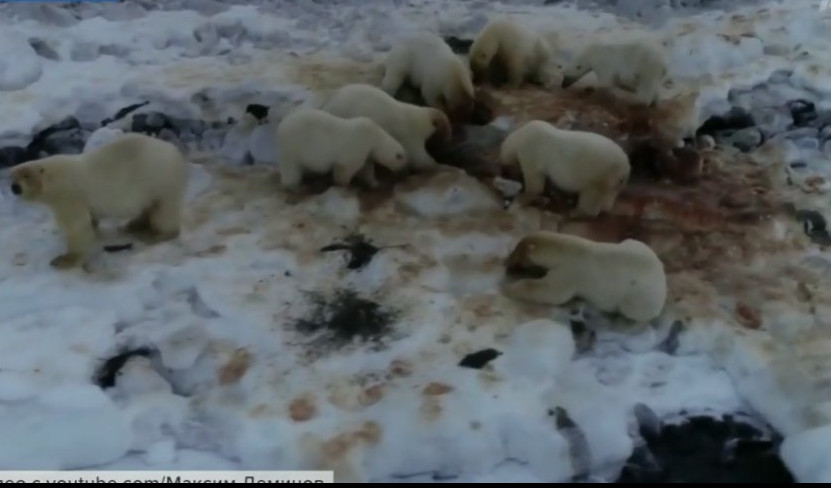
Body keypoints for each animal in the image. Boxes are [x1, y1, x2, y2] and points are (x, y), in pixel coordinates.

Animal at [9, 132, 188, 270]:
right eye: (12, 176)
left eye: (26, 175)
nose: (14, 187)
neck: (56, 178)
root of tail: (175, 151)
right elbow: (90, 219)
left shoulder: (70, 195)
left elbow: (77, 228)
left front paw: (63, 259)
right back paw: (133, 225)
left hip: (161, 181)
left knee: (163, 211)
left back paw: (157, 235)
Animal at [276, 108, 406, 191]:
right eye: (402, 161)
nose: (404, 172)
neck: (373, 135)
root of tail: (281, 125)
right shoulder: (357, 147)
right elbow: (346, 169)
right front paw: (346, 185)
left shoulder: (366, 151)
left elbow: (367, 168)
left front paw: (376, 183)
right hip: (293, 146)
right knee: (291, 169)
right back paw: (297, 186)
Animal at [500, 119, 632, 215]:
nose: (503, 172)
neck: (522, 134)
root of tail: (625, 168)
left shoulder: (531, 151)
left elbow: (535, 183)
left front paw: (521, 198)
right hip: (613, 183)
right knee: (608, 197)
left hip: (600, 175)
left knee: (590, 200)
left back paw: (574, 212)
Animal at [500, 231, 668, 322]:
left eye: (517, 252)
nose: (506, 260)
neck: (568, 249)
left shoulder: (571, 272)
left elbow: (552, 292)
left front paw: (509, 288)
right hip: (637, 245)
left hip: (640, 297)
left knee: (632, 310)